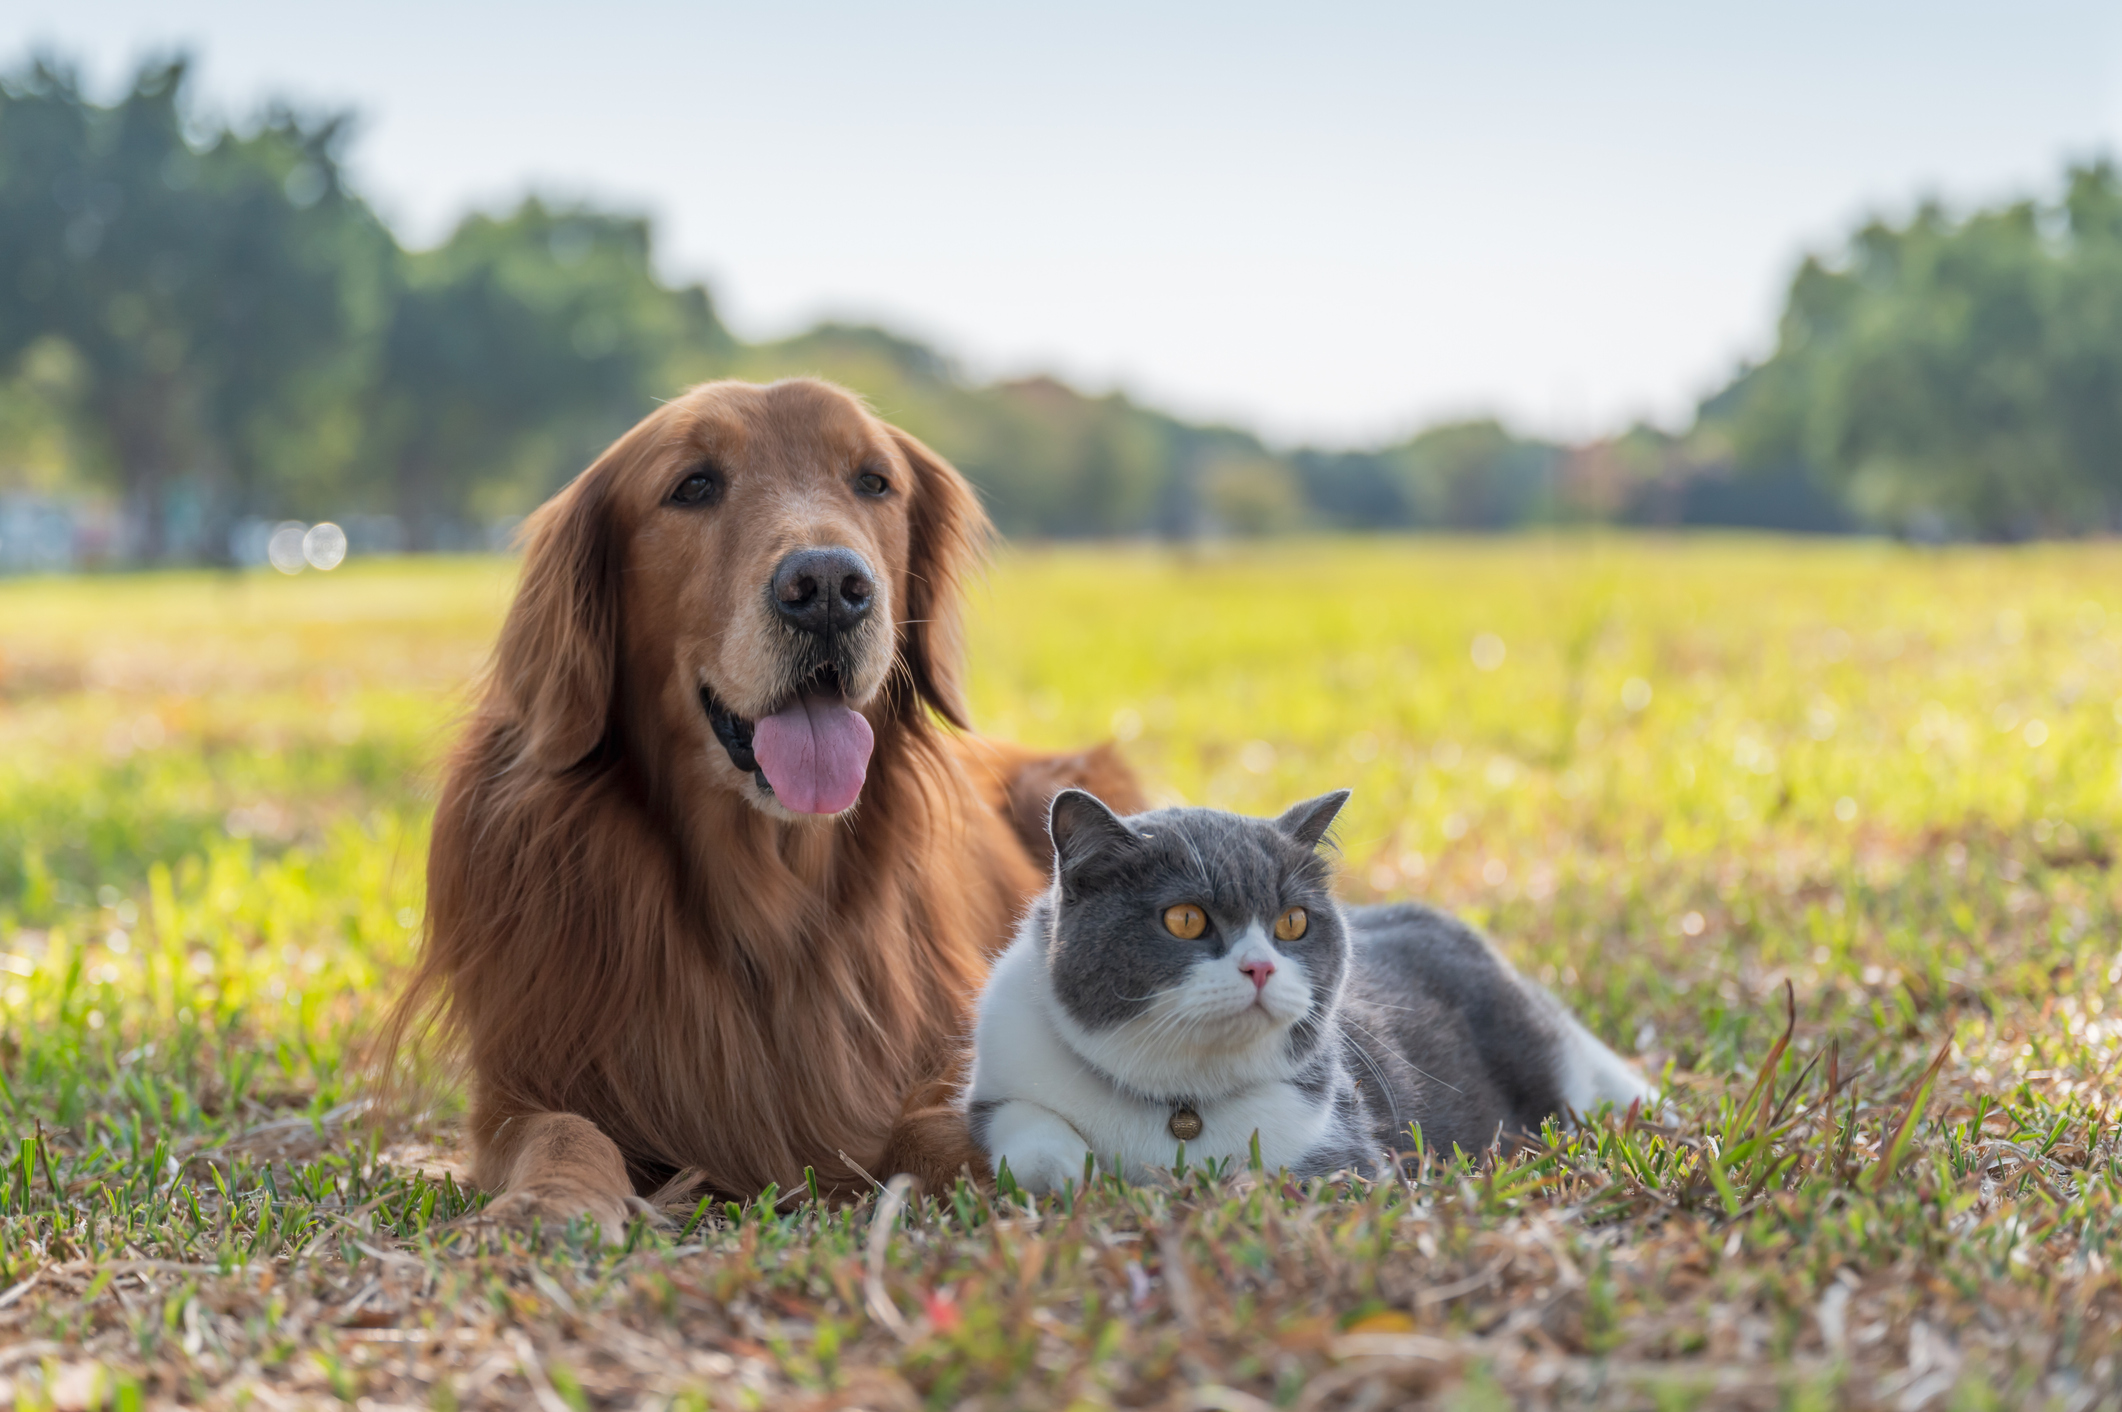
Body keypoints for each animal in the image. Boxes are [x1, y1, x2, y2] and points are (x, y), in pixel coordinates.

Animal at [381, 380, 1145, 1231]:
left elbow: (936, 1116)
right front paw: (554, 1199)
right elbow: (561, 1129)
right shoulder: (519, 1080)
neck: (766, 892)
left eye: (873, 481)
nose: (829, 590)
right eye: (693, 486)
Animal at [967, 785, 1655, 1180]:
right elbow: (1023, 1134)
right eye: (1185, 919)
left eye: (1292, 922)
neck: (1179, 1103)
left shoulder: (1344, 1152)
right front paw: (1069, 1170)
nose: (1261, 966)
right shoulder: (1000, 1073)